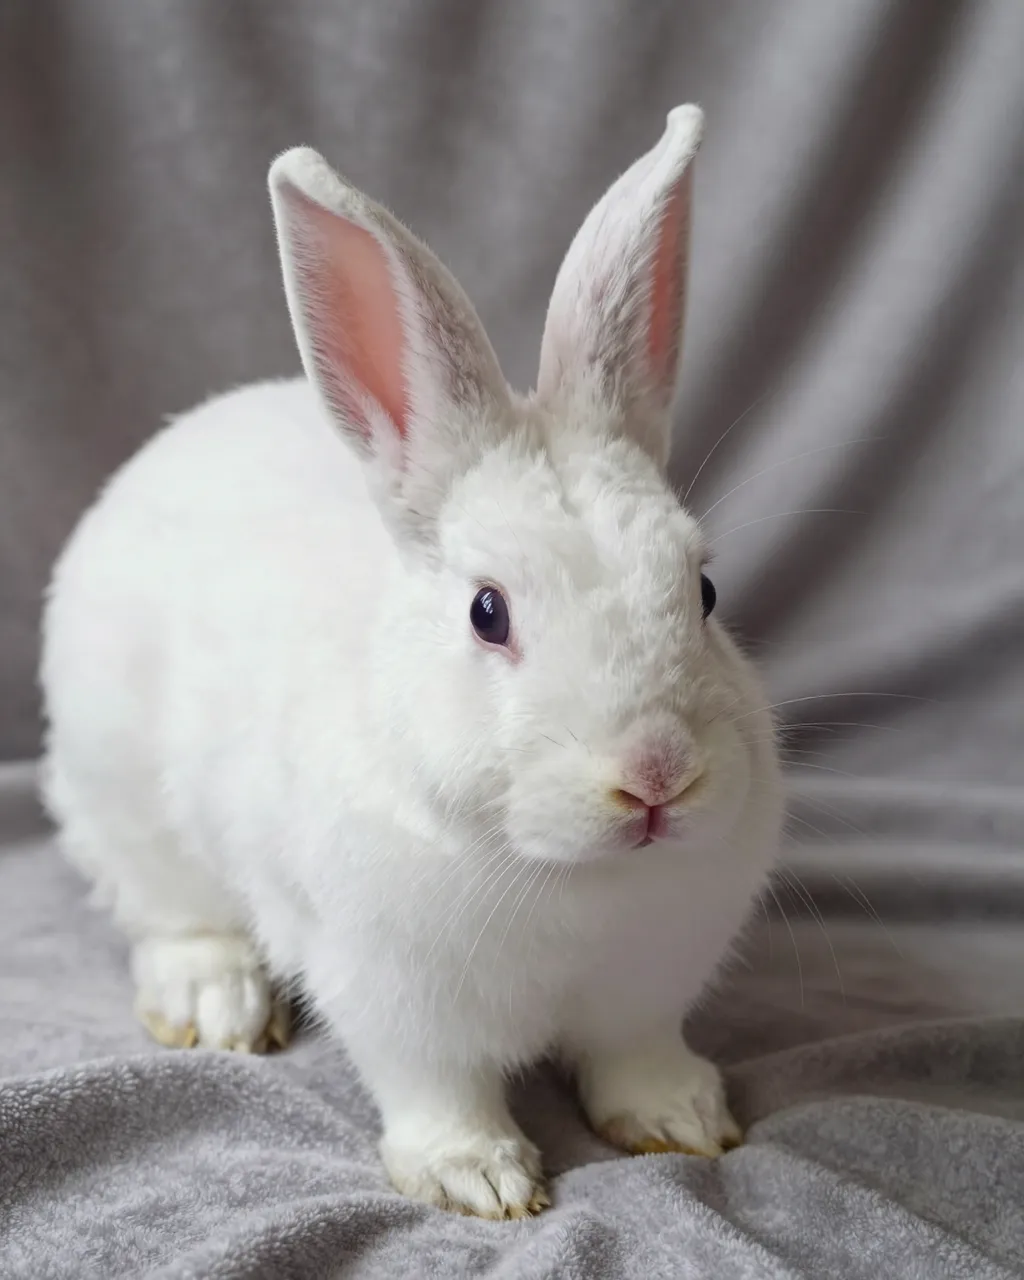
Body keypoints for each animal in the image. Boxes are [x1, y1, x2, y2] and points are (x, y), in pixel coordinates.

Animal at [40, 104, 782, 1219]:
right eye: (487, 612)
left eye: (702, 592)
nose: (655, 774)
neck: (567, 877)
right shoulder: (396, 998)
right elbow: (439, 1087)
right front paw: (477, 1177)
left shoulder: (646, 988)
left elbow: (637, 1056)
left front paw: (683, 1121)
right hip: (124, 799)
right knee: (169, 912)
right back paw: (215, 1003)